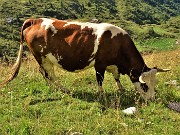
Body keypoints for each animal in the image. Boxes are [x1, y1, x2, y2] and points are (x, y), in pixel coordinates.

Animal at [0, 17, 169, 100]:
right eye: (145, 86)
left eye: (155, 84)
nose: (152, 98)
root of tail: (35, 20)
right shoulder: (100, 65)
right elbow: (100, 80)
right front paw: (101, 94)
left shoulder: (113, 65)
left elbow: (116, 77)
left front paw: (121, 89)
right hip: (41, 56)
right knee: (48, 74)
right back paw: (62, 89)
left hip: (46, 58)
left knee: (46, 74)